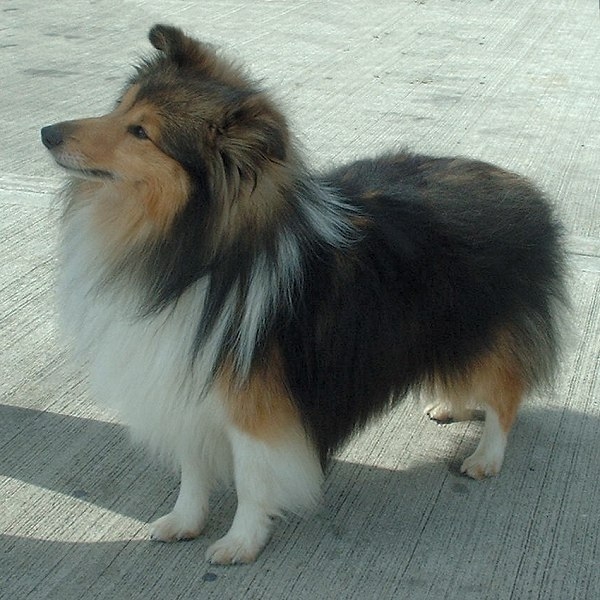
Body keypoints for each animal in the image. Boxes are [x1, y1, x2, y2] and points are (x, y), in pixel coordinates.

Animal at [41, 23, 568, 564]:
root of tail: (528, 191)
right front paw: (184, 522)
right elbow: (192, 470)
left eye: (141, 132)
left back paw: (486, 456)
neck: (194, 255)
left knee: (505, 393)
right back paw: (452, 405)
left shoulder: (254, 407)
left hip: (489, 328)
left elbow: (252, 479)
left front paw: (241, 542)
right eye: (120, 107)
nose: (47, 134)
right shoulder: (181, 378)